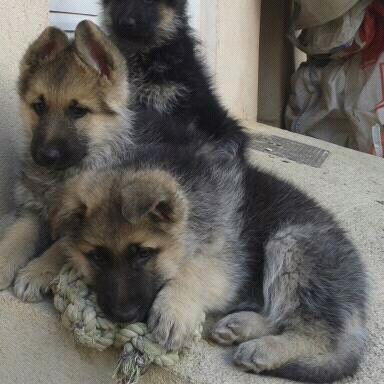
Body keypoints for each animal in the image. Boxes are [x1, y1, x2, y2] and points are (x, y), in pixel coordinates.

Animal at [49, 145, 368, 384]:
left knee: (317, 332)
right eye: (97, 257)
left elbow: (192, 271)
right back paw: (242, 325)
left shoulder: (227, 264)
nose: (123, 317)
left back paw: (264, 349)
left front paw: (174, 309)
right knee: (281, 316)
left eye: (143, 254)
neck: (191, 214)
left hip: (291, 243)